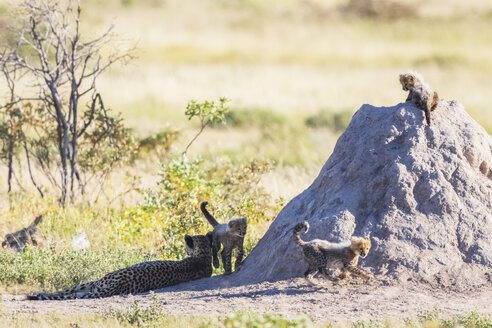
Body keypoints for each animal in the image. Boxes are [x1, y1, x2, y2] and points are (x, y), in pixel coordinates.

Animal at [26, 233, 211, 300]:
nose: (186, 250)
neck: (203, 257)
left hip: (94, 282)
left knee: (66, 293)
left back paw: (38, 294)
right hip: (92, 286)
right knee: (70, 293)